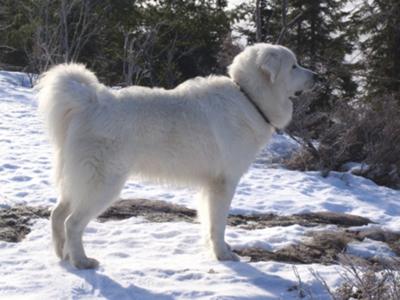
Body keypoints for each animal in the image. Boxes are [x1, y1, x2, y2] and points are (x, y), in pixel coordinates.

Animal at [38, 42, 316, 270]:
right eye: (294, 65)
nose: (318, 76)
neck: (249, 97)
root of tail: (91, 101)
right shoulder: (224, 183)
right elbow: (218, 224)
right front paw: (223, 255)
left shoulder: (209, 185)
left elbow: (208, 221)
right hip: (103, 184)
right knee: (72, 223)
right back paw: (81, 261)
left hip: (78, 181)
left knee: (57, 214)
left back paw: (62, 255)